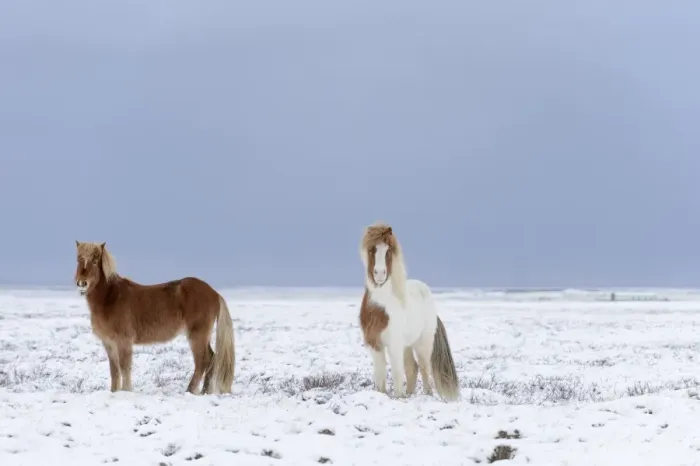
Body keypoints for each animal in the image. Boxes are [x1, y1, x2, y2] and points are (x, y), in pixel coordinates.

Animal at [74, 241, 235, 395]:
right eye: (78, 259)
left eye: (95, 261)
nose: (82, 283)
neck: (110, 297)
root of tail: (214, 293)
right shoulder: (109, 343)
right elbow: (114, 370)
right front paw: (114, 392)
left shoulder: (123, 342)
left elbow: (124, 367)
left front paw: (126, 391)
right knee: (212, 359)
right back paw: (204, 392)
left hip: (197, 336)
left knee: (203, 361)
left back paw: (190, 391)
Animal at [358, 223, 460, 401]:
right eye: (371, 249)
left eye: (389, 250)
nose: (380, 274)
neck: (381, 308)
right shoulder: (375, 344)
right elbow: (380, 375)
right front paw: (382, 394)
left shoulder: (394, 344)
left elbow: (397, 373)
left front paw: (398, 397)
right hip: (407, 345)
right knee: (412, 368)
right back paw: (410, 394)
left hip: (422, 344)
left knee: (424, 368)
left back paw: (426, 394)